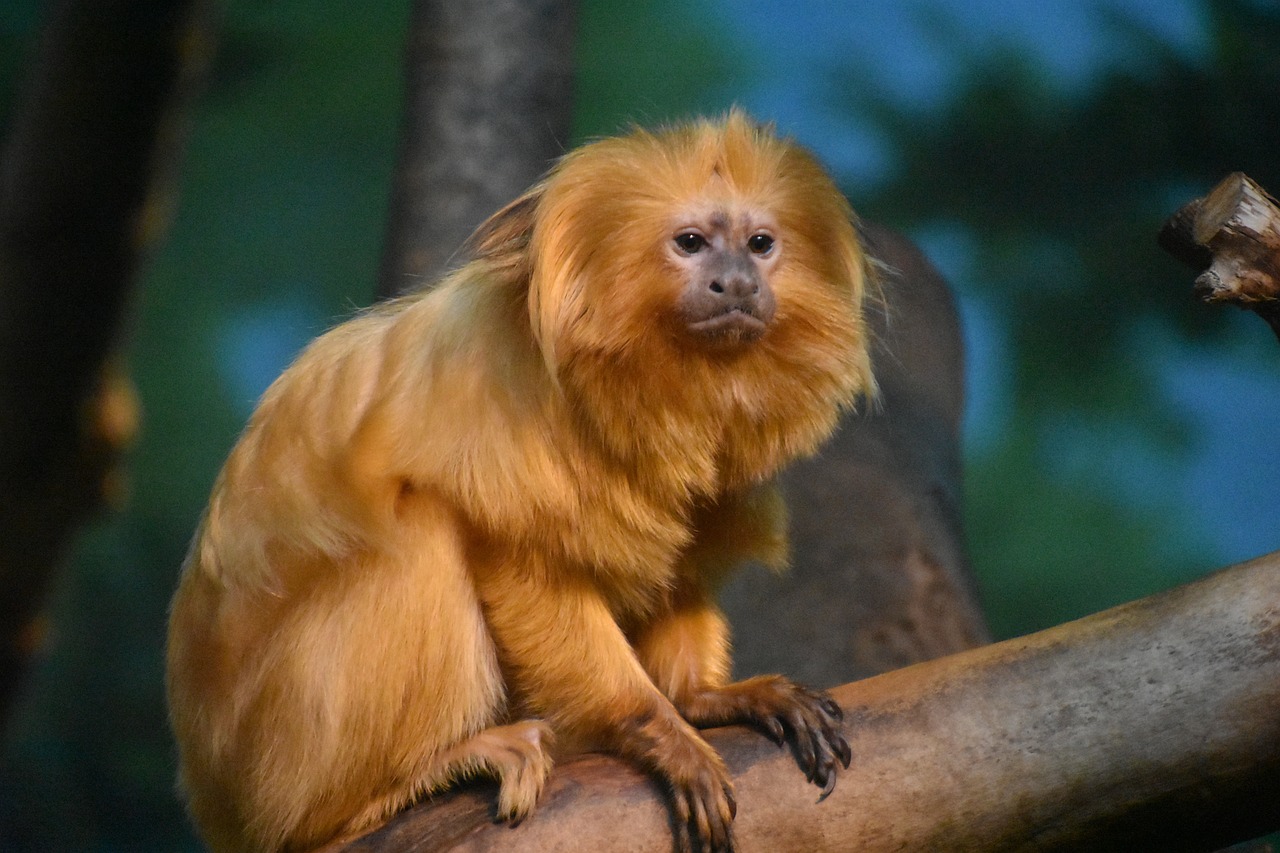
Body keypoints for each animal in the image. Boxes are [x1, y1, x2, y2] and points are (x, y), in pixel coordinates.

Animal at [167, 111, 870, 850]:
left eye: (761, 244)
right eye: (691, 243)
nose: (735, 282)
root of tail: (213, 794)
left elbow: (676, 564)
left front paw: (703, 699)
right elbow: (527, 568)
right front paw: (662, 731)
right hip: (282, 754)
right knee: (418, 528)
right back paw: (405, 780)